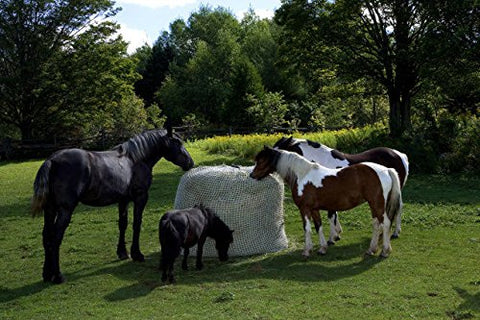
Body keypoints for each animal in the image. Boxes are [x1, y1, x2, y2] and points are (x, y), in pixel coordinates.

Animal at [31, 127, 195, 282]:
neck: (135, 160)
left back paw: (47, 274)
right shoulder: (140, 197)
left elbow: (123, 224)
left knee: (47, 237)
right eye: (177, 142)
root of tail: (51, 160)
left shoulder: (123, 200)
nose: (190, 163)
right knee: (55, 238)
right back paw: (58, 276)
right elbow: (137, 223)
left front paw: (122, 252)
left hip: (50, 209)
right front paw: (137, 254)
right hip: (65, 210)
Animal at [249, 147, 404, 258]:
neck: (302, 175)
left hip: (377, 204)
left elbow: (307, 228)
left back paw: (384, 251)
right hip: (374, 205)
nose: (252, 175)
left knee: (386, 224)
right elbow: (319, 227)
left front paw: (307, 251)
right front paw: (323, 248)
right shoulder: (314, 209)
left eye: (261, 160)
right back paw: (371, 249)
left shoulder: (304, 209)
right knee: (377, 224)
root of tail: (386, 170)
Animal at [274, 136, 408, 244]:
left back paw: (395, 232)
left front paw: (332, 238)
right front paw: (337, 233)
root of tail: (400, 155)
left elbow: (331, 215)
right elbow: (334, 214)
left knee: (398, 207)